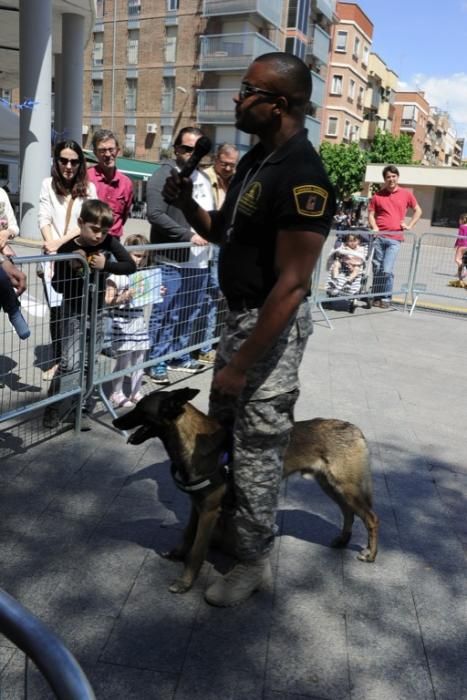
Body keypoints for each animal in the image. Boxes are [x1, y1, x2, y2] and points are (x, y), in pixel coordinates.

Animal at [114, 386, 380, 592]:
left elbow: (197, 550)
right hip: (331, 486)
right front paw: (178, 553)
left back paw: (370, 554)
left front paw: (185, 582)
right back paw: (343, 540)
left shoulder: (209, 511)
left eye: (140, 409)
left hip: (345, 488)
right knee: (348, 512)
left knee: (370, 518)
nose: (116, 421)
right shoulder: (196, 506)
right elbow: (187, 534)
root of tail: (354, 428)